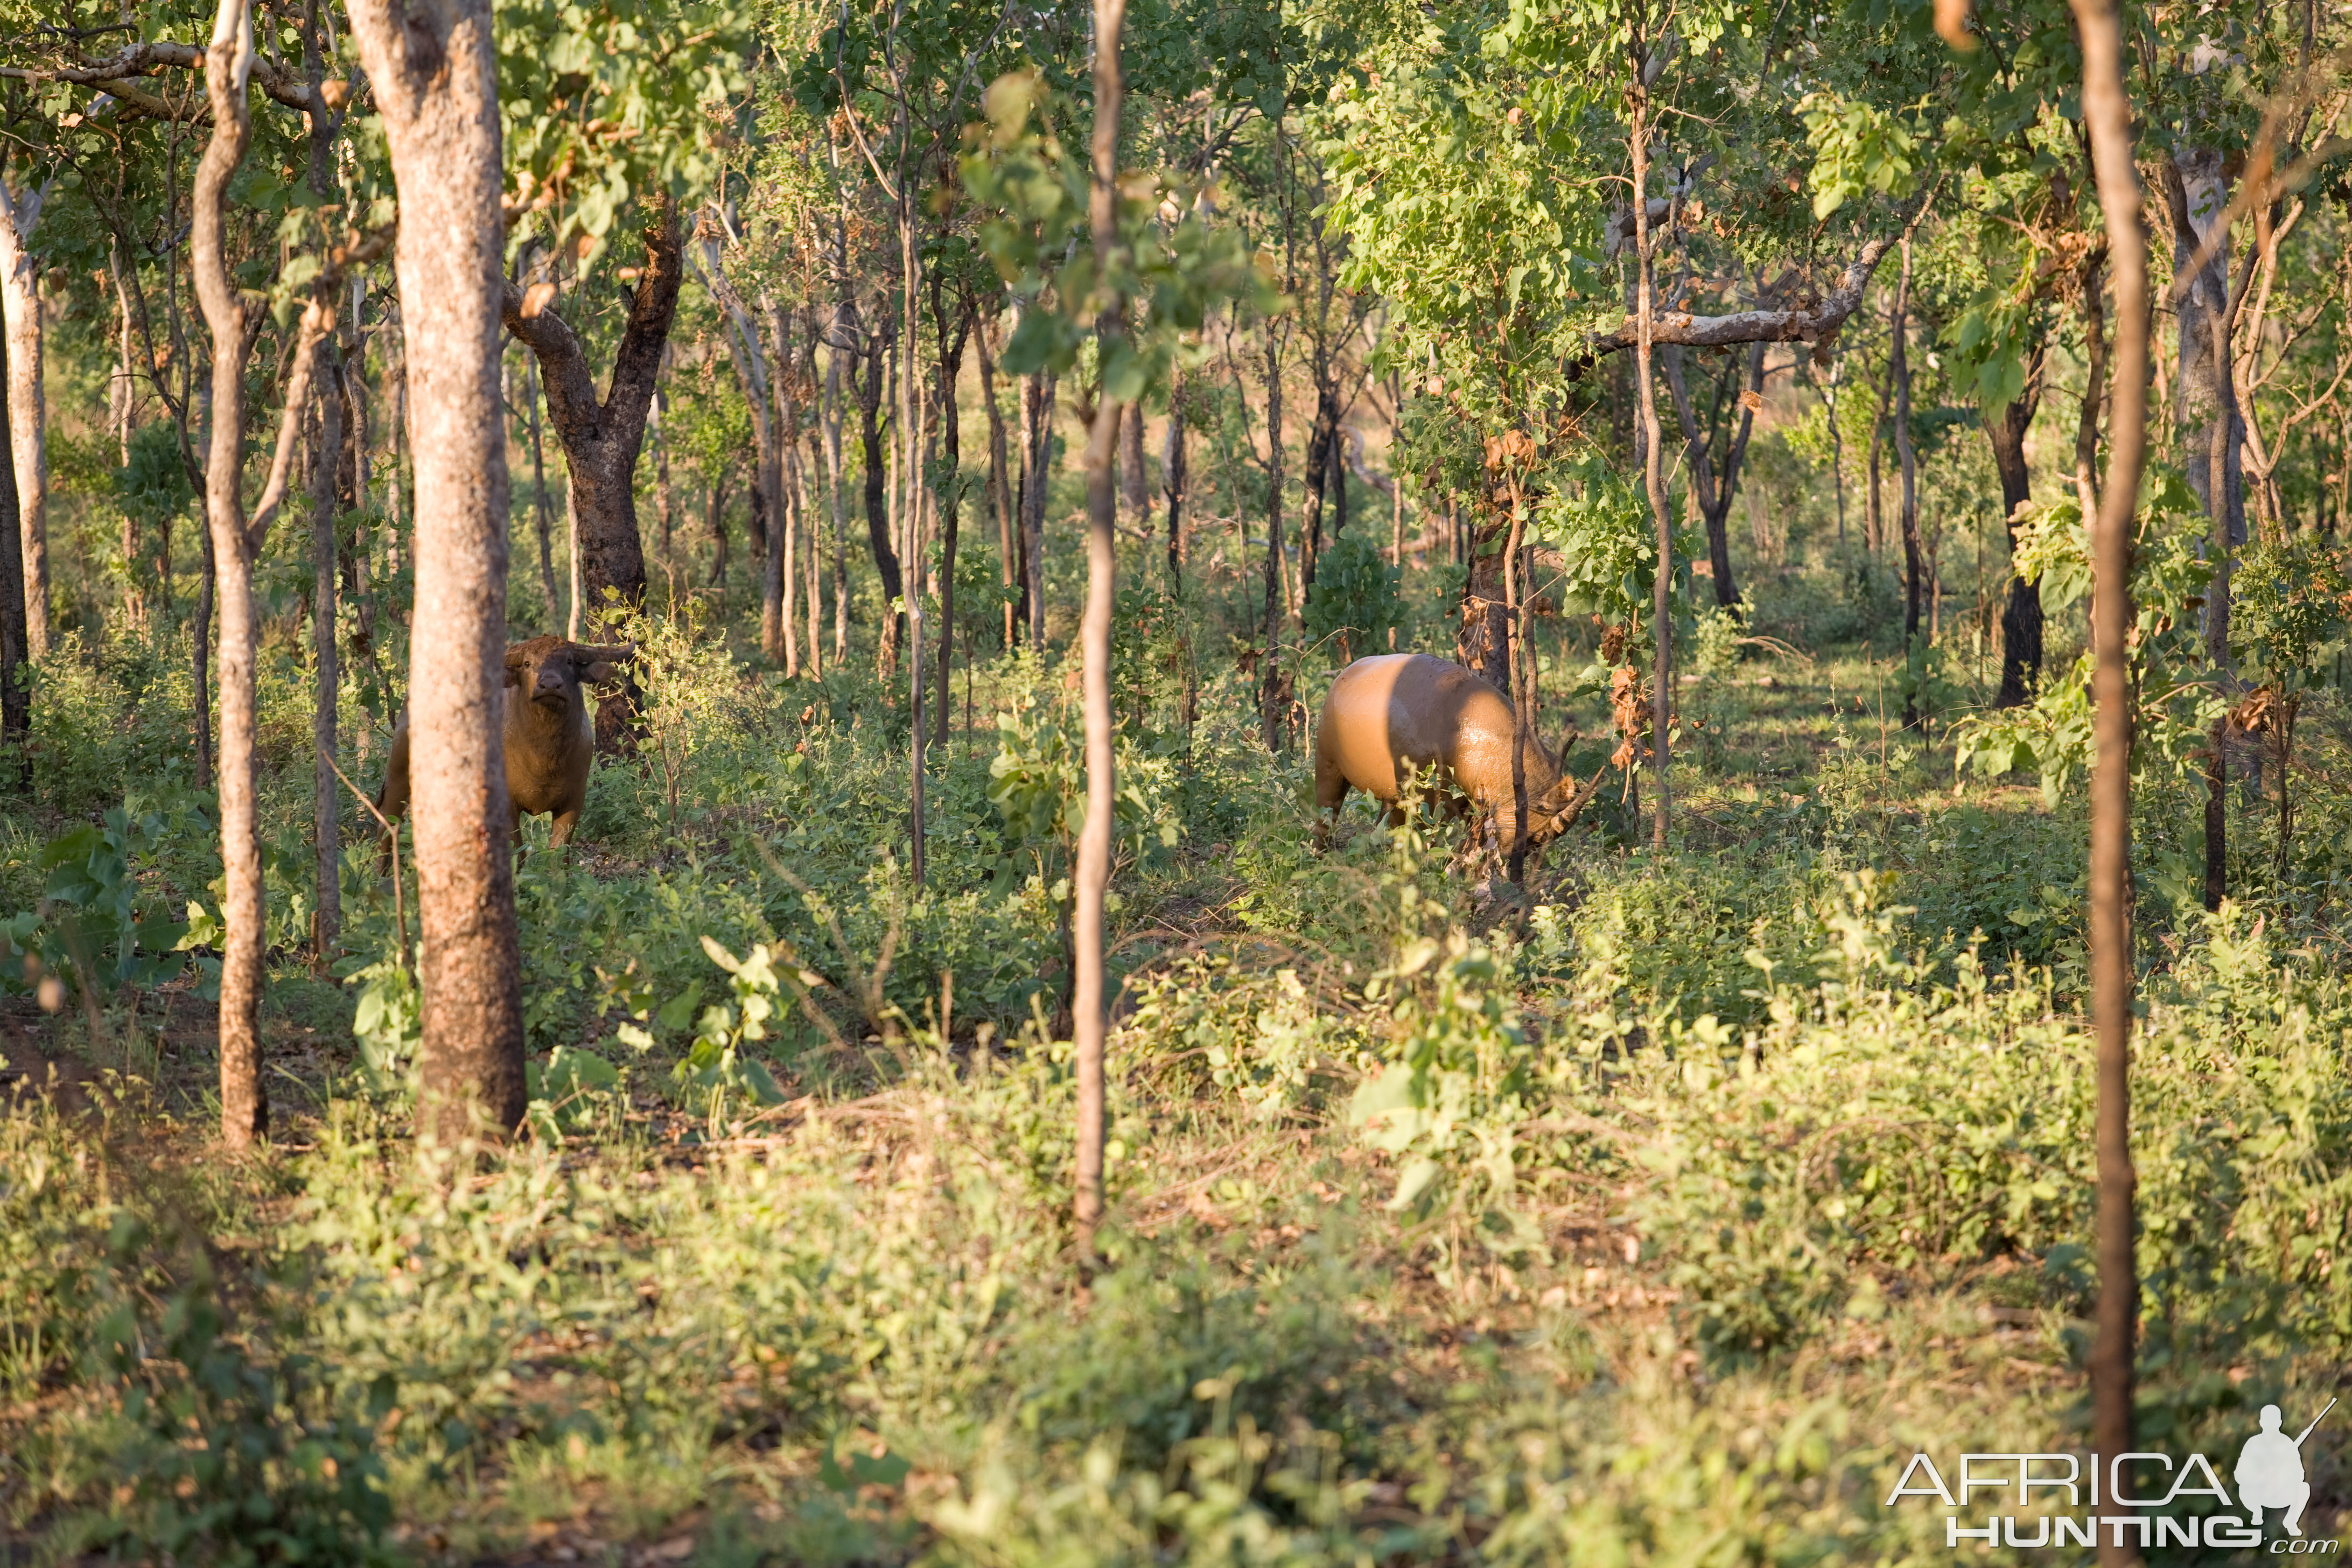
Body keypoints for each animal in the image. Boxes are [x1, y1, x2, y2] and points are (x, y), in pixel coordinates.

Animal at [374, 639, 635, 860]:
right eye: (527, 663)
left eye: (569, 661)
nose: (550, 685)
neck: (544, 757)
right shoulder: (508, 804)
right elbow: (516, 854)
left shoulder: (573, 801)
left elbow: (558, 855)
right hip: (398, 772)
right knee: (387, 822)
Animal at [1307, 658, 1580, 851]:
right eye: (1540, 835)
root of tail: (1344, 674)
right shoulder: (1422, 793)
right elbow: (1426, 834)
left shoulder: (1464, 800)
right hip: (1328, 764)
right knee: (1327, 809)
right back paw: (1321, 853)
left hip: (1390, 790)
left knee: (1385, 821)